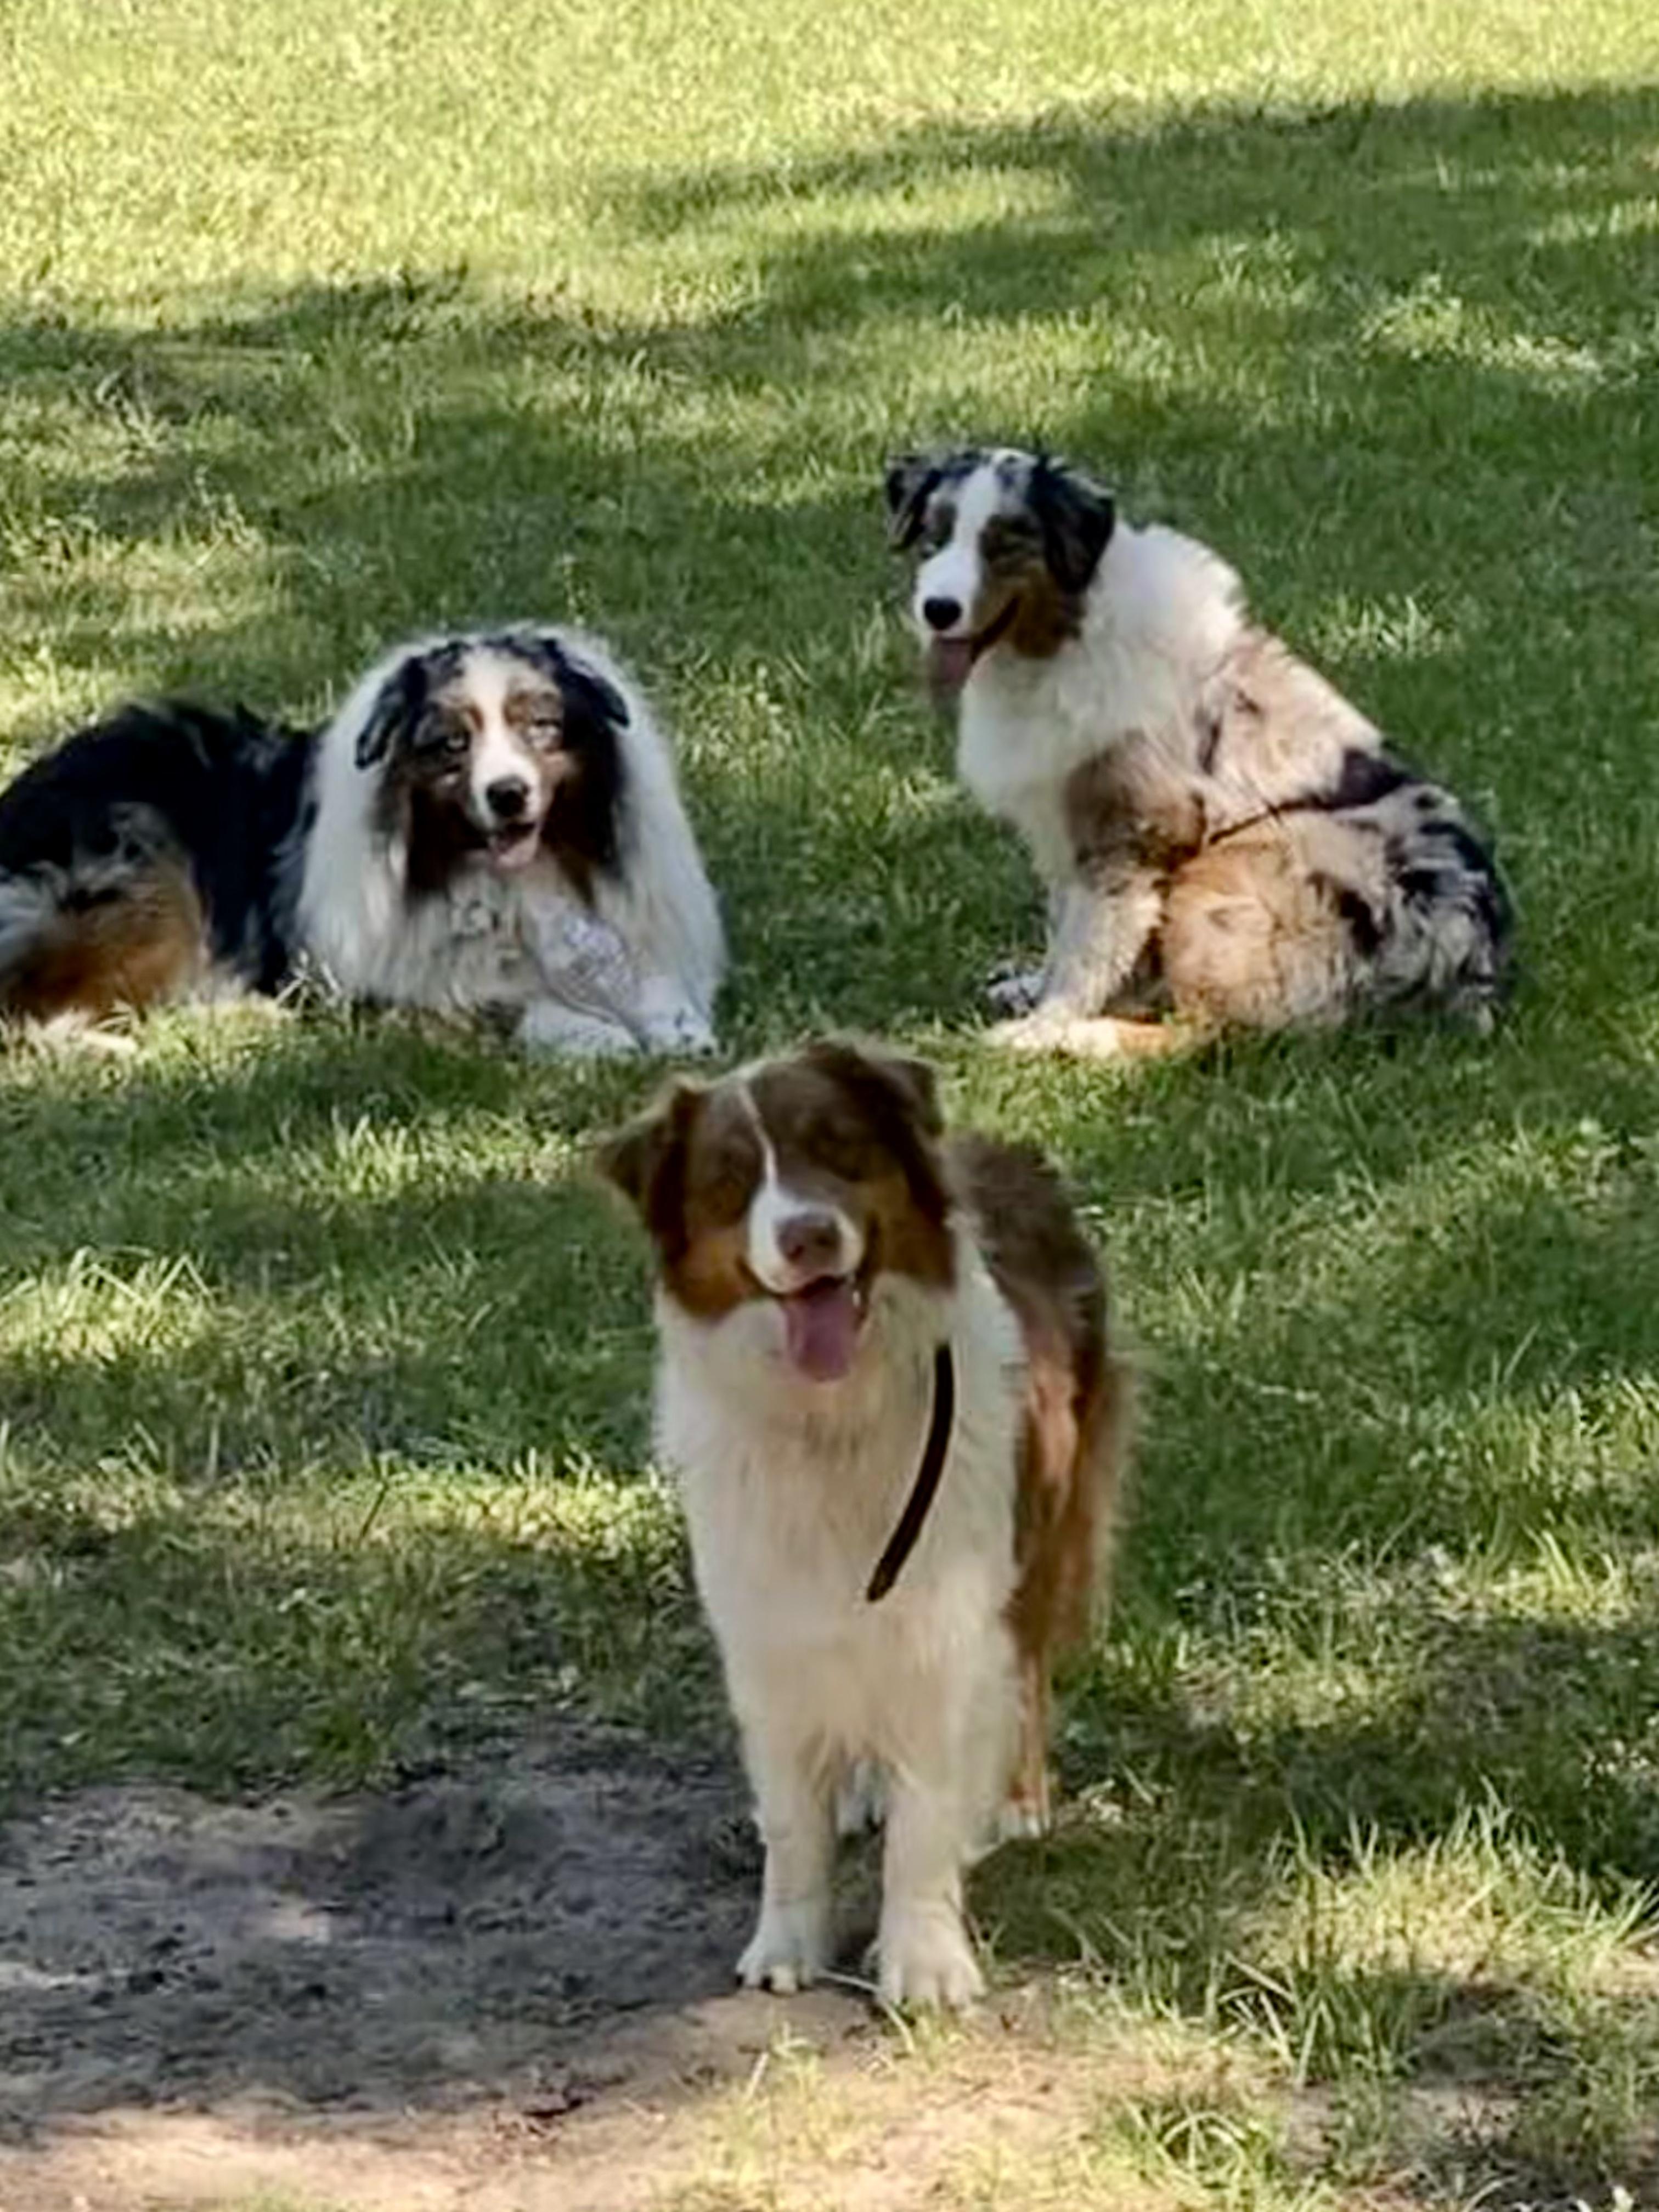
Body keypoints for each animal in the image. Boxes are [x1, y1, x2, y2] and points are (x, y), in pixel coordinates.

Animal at [0, 627, 724, 1055]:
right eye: (451, 743)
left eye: (539, 726)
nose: (508, 794)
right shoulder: (399, 990)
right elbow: (504, 1006)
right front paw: (595, 1034)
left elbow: (654, 993)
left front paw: (673, 1028)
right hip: (146, 876)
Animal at [601, 1039, 1128, 2006]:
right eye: (729, 1179)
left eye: (838, 1145)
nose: (806, 1236)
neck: (833, 1422)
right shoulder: (765, 1631)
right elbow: (790, 1824)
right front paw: (787, 1944)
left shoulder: (948, 1621)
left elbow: (924, 1823)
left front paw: (924, 1961)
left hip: (1044, 1527)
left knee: (1028, 1672)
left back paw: (1018, 1803)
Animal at [885, 446, 1512, 1057]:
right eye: (934, 538)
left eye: (1005, 545)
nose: (937, 609)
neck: (1063, 636)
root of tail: (1468, 978)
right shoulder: (1064, 819)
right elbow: (1064, 925)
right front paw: (1036, 989)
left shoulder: (1133, 829)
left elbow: (1089, 947)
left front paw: (1046, 1023)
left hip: (1241, 864)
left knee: (1204, 1033)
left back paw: (1082, 1038)